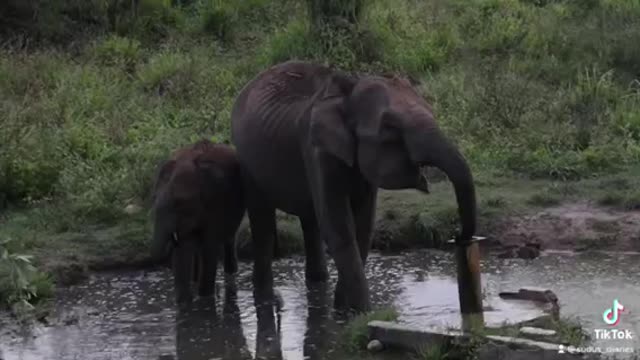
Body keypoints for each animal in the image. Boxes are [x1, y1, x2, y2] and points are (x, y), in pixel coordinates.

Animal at [151, 139, 246, 306]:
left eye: (179, 202)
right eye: (153, 198)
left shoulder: (215, 202)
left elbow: (208, 249)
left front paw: (204, 300)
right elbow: (183, 251)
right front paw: (186, 303)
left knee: (228, 239)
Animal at [230, 59, 476, 312]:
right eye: (390, 126)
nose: (459, 237)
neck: (347, 94)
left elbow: (363, 227)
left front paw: (344, 310)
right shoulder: (316, 149)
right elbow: (339, 228)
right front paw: (362, 313)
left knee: (310, 222)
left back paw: (318, 284)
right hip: (247, 160)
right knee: (263, 226)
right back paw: (265, 296)